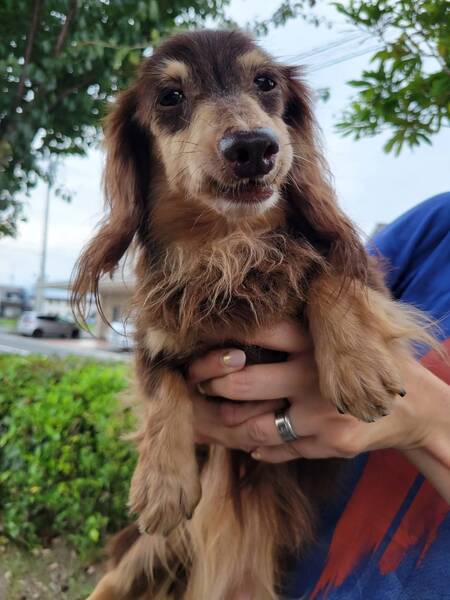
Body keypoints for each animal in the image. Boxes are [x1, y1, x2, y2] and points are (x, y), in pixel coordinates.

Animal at [72, 29, 431, 600]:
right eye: (170, 96)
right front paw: (161, 482)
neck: (229, 247)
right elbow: (160, 387)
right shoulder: (156, 333)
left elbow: (326, 274)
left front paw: (357, 366)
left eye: (265, 83)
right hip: (145, 556)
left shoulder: (356, 275)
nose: (253, 148)